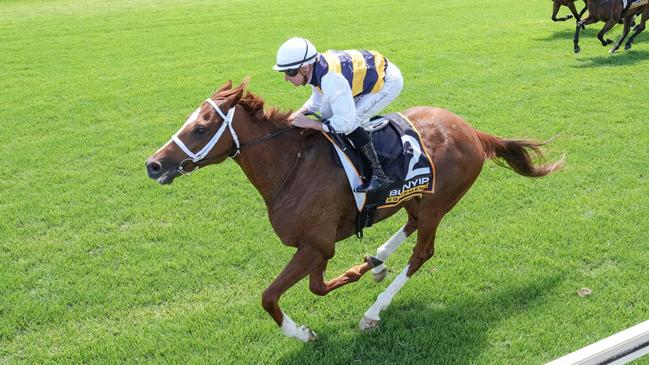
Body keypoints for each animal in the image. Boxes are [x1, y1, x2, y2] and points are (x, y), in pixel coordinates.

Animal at [144, 79, 560, 342]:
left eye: (200, 128)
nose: (154, 165)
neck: (291, 166)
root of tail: (472, 131)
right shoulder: (317, 247)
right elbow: (317, 285)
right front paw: (362, 270)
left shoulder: (315, 245)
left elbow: (272, 295)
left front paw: (302, 333)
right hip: (416, 199)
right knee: (409, 225)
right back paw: (375, 260)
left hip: (438, 203)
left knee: (422, 252)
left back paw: (373, 312)